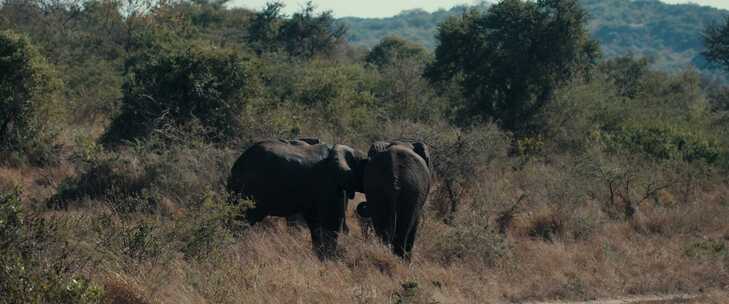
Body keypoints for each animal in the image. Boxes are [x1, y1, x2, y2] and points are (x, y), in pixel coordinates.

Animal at [226, 139, 366, 258]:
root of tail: (239, 163)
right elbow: (332, 223)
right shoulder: (331, 185)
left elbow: (316, 224)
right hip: (252, 188)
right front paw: (328, 260)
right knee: (242, 219)